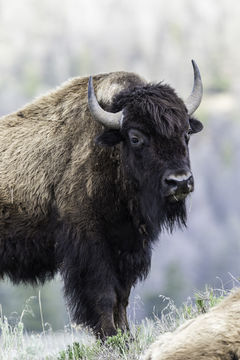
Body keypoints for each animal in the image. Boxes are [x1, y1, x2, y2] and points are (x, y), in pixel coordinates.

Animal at [0, 60, 202, 338]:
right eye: (135, 137)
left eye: (186, 134)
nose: (180, 181)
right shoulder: (90, 247)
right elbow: (104, 295)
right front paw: (109, 337)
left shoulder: (128, 247)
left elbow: (122, 297)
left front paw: (126, 336)